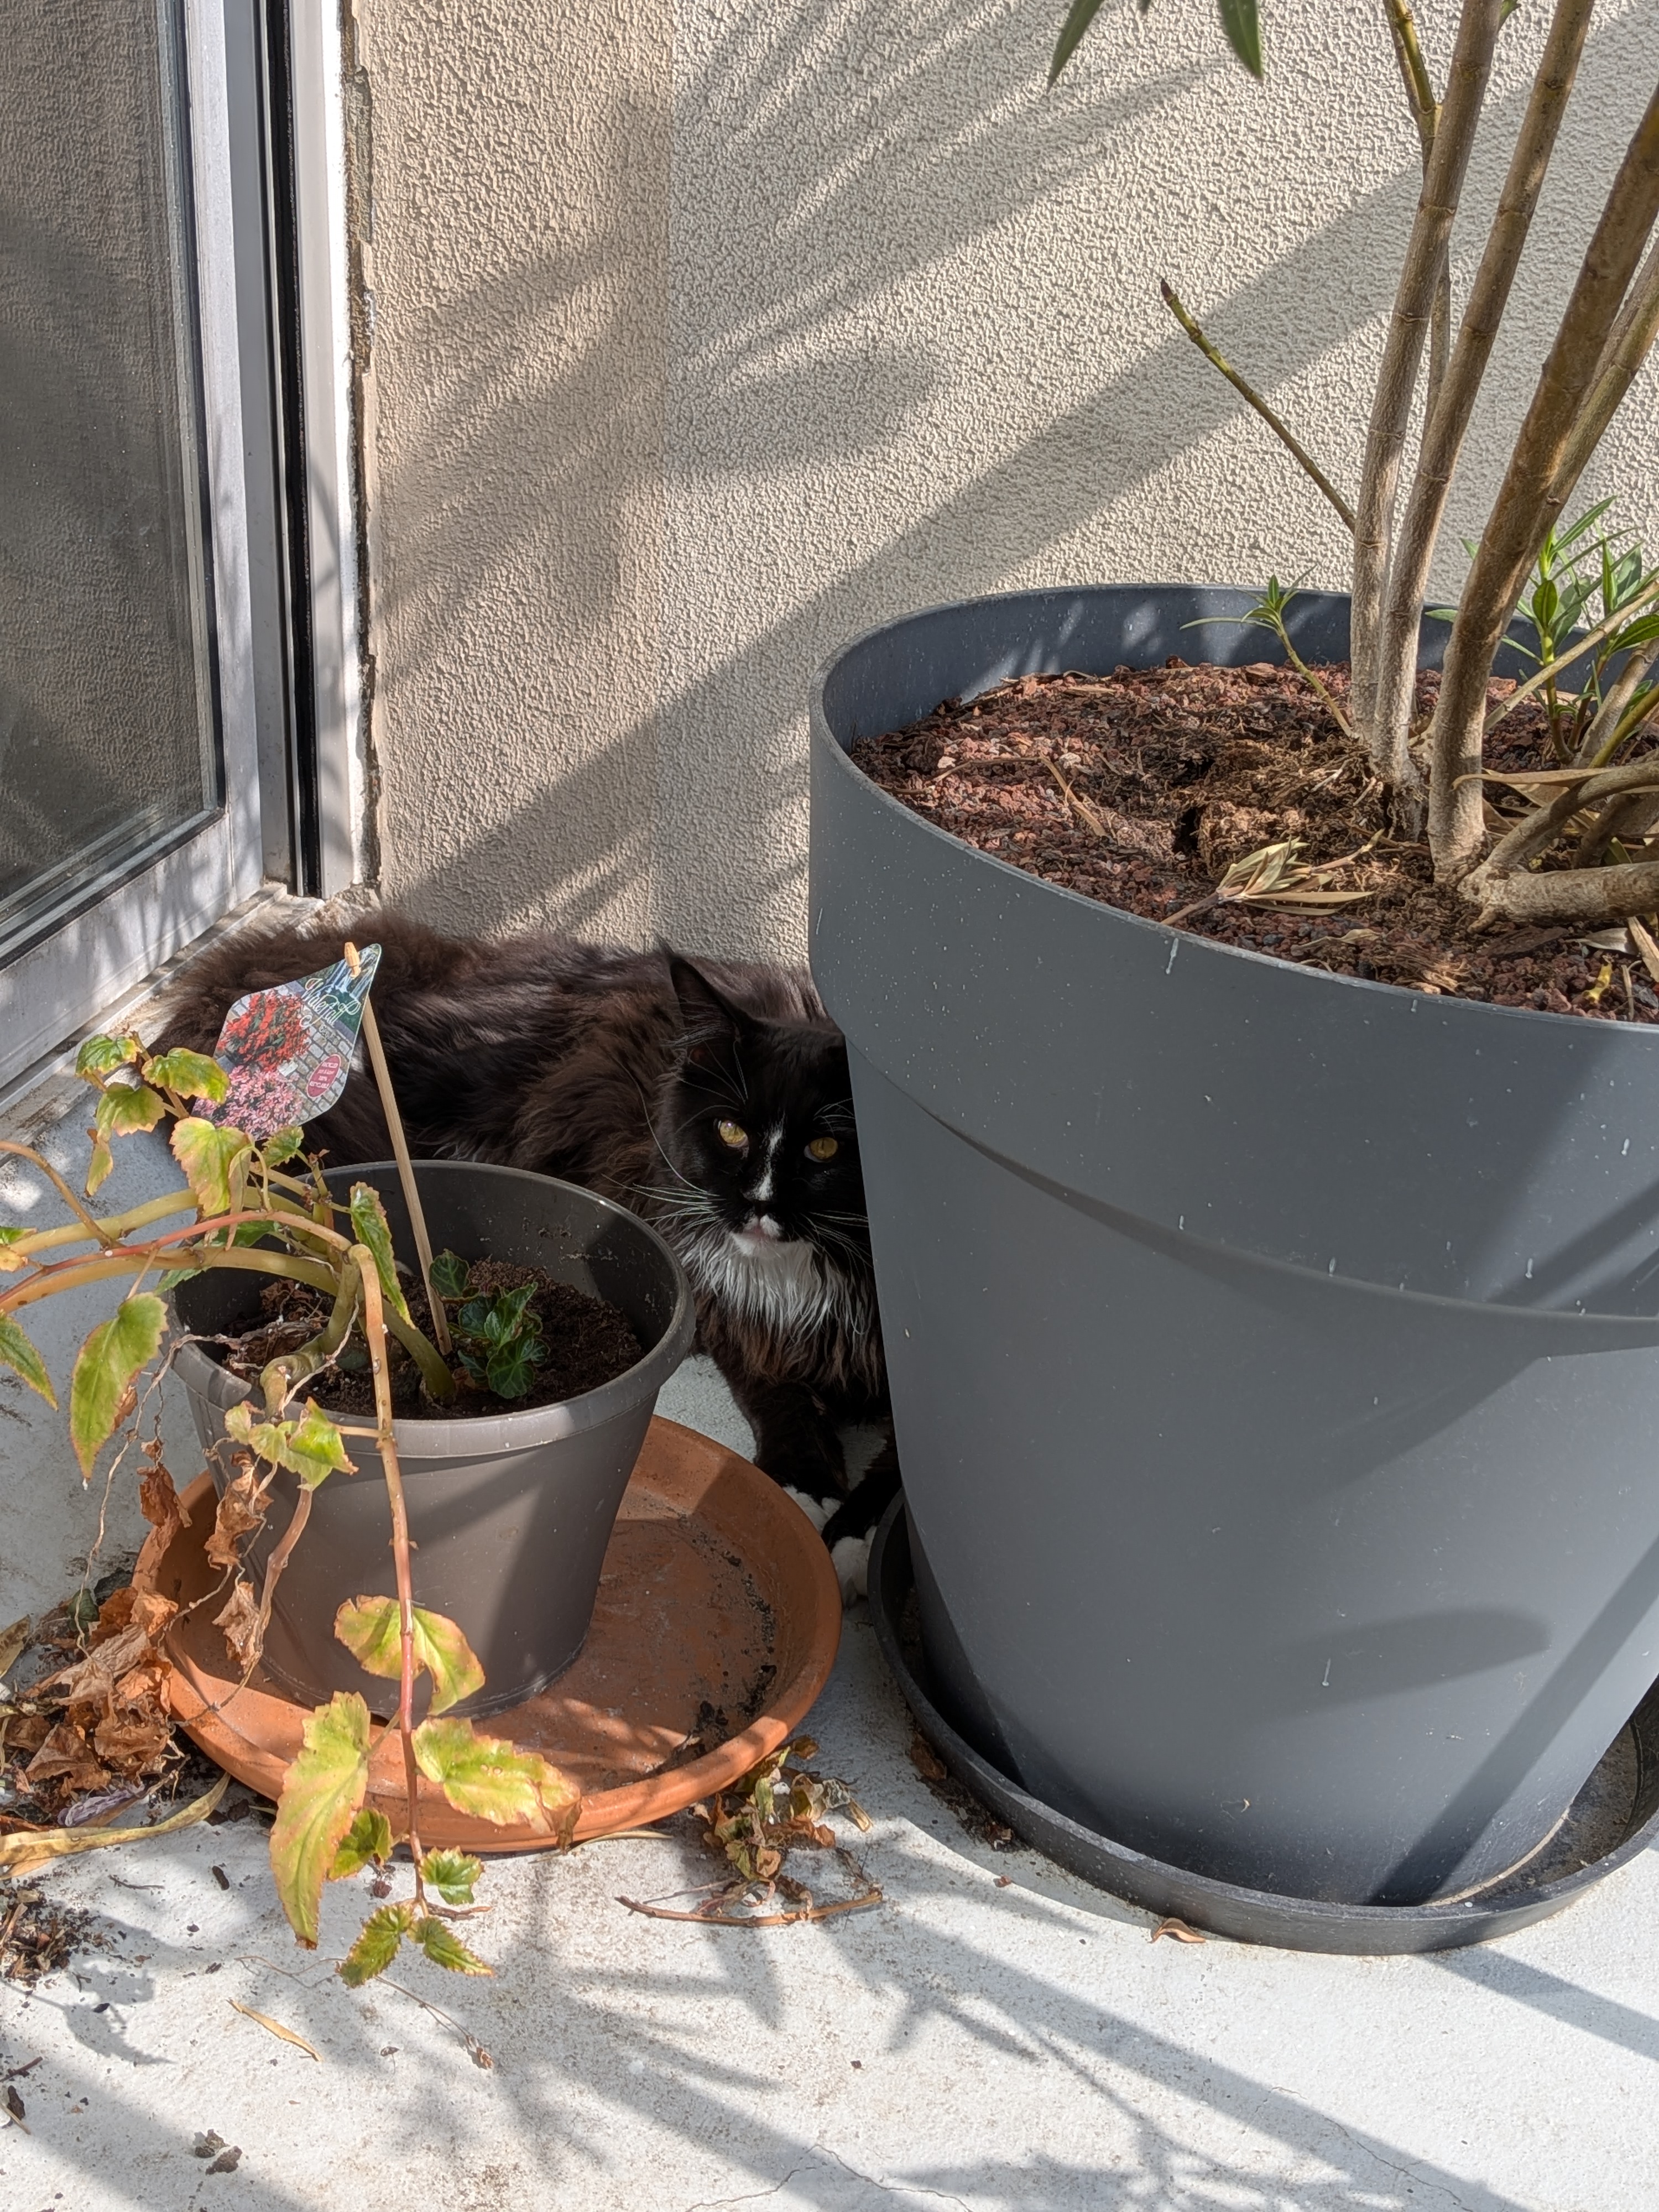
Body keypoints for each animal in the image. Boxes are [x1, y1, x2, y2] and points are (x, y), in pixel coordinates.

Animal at [155, 912, 897, 1596]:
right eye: (731, 1131)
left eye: (826, 1148)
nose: (757, 1205)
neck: (814, 1271)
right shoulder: (726, 1299)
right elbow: (776, 1389)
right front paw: (804, 1487)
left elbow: (897, 1468)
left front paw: (855, 1534)